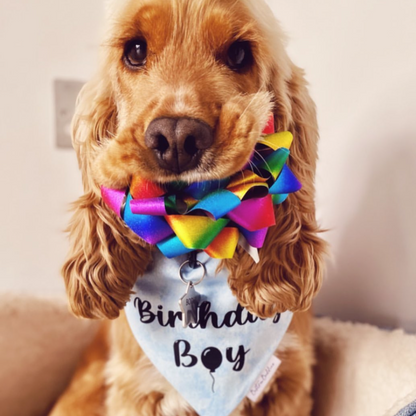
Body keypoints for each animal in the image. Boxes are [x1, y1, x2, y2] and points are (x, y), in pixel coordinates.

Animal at [50, 0, 326, 416]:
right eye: (135, 50)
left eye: (239, 54)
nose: (177, 138)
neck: (194, 236)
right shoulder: (134, 390)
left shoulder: (289, 384)